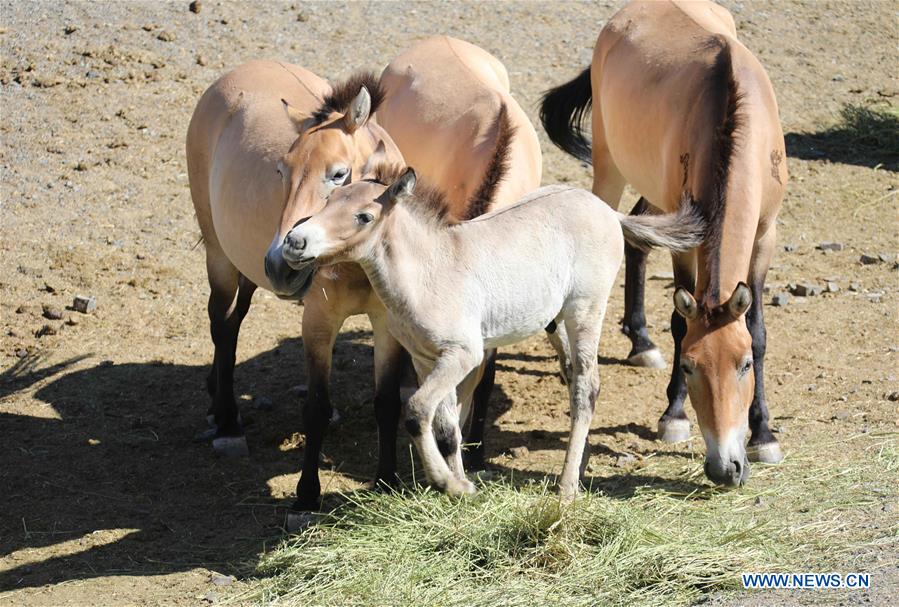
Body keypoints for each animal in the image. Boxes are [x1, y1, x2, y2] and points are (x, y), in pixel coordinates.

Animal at [279, 165, 703, 497]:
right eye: (329, 201)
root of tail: (607, 210)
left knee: (587, 386)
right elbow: (447, 427)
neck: (429, 271)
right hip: (556, 320)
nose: (294, 242)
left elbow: (416, 411)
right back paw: (577, 471)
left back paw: (567, 487)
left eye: (364, 216)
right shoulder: (424, 357)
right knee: (571, 377)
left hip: (585, 309)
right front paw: (464, 486)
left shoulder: (463, 353)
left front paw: (448, 484)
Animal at [539, 0, 787, 486]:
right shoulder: (688, 242)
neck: (732, 113)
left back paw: (640, 341)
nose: (724, 468)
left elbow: (759, 328)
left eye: (744, 364)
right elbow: (678, 320)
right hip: (610, 169)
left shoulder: (765, 235)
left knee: (636, 237)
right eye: (689, 365)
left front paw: (764, 434)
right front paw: (674, 415)